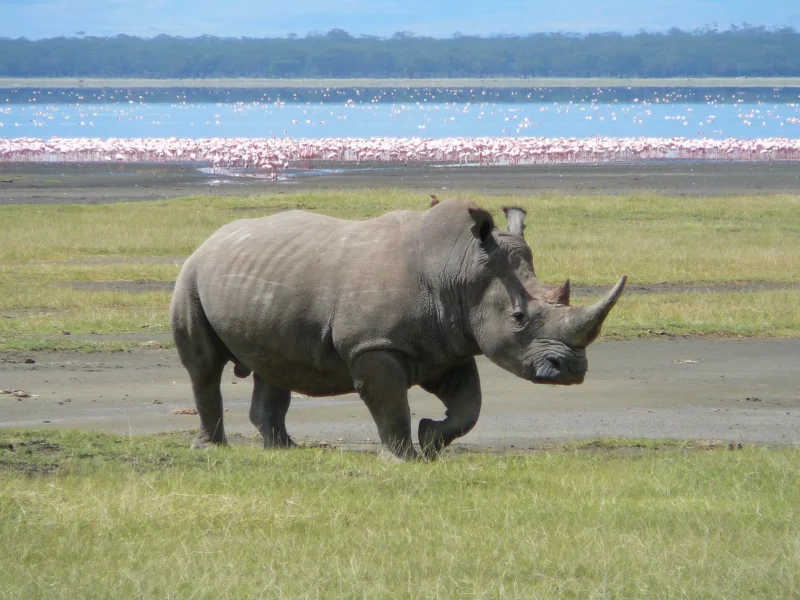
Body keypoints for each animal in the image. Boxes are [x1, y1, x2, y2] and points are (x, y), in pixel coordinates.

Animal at [170, 199, 626, 460]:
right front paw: (404, 458)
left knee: (273, 364)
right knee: (204, 368)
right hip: (190, 275)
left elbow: (469, 407)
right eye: (518, 319)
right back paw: (211, 449)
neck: (459, 268)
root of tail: (211, 240)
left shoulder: (449, 343)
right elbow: (390, 405)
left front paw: (430, 441)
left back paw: (284, 452)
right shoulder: (375, 345)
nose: (572, 371)